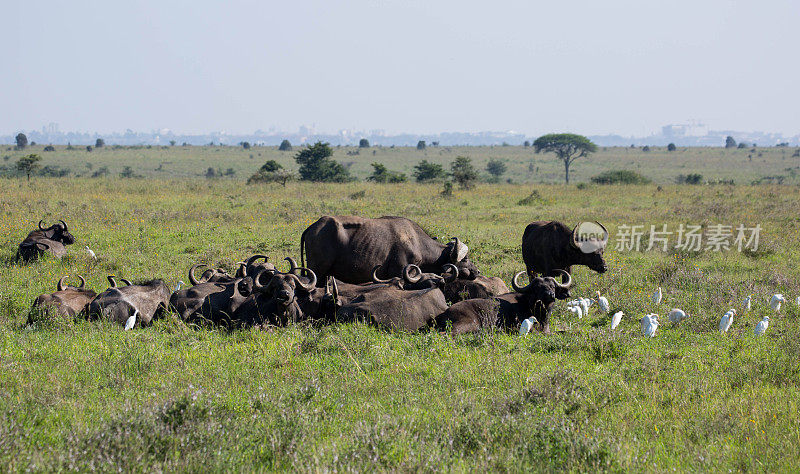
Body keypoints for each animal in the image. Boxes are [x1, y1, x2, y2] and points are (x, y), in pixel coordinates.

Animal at [298, 216, 476, 286]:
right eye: (465, 258)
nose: (477, 271)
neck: (417, 242)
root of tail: (313, 227)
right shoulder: (401, 271)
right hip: (317, 271)